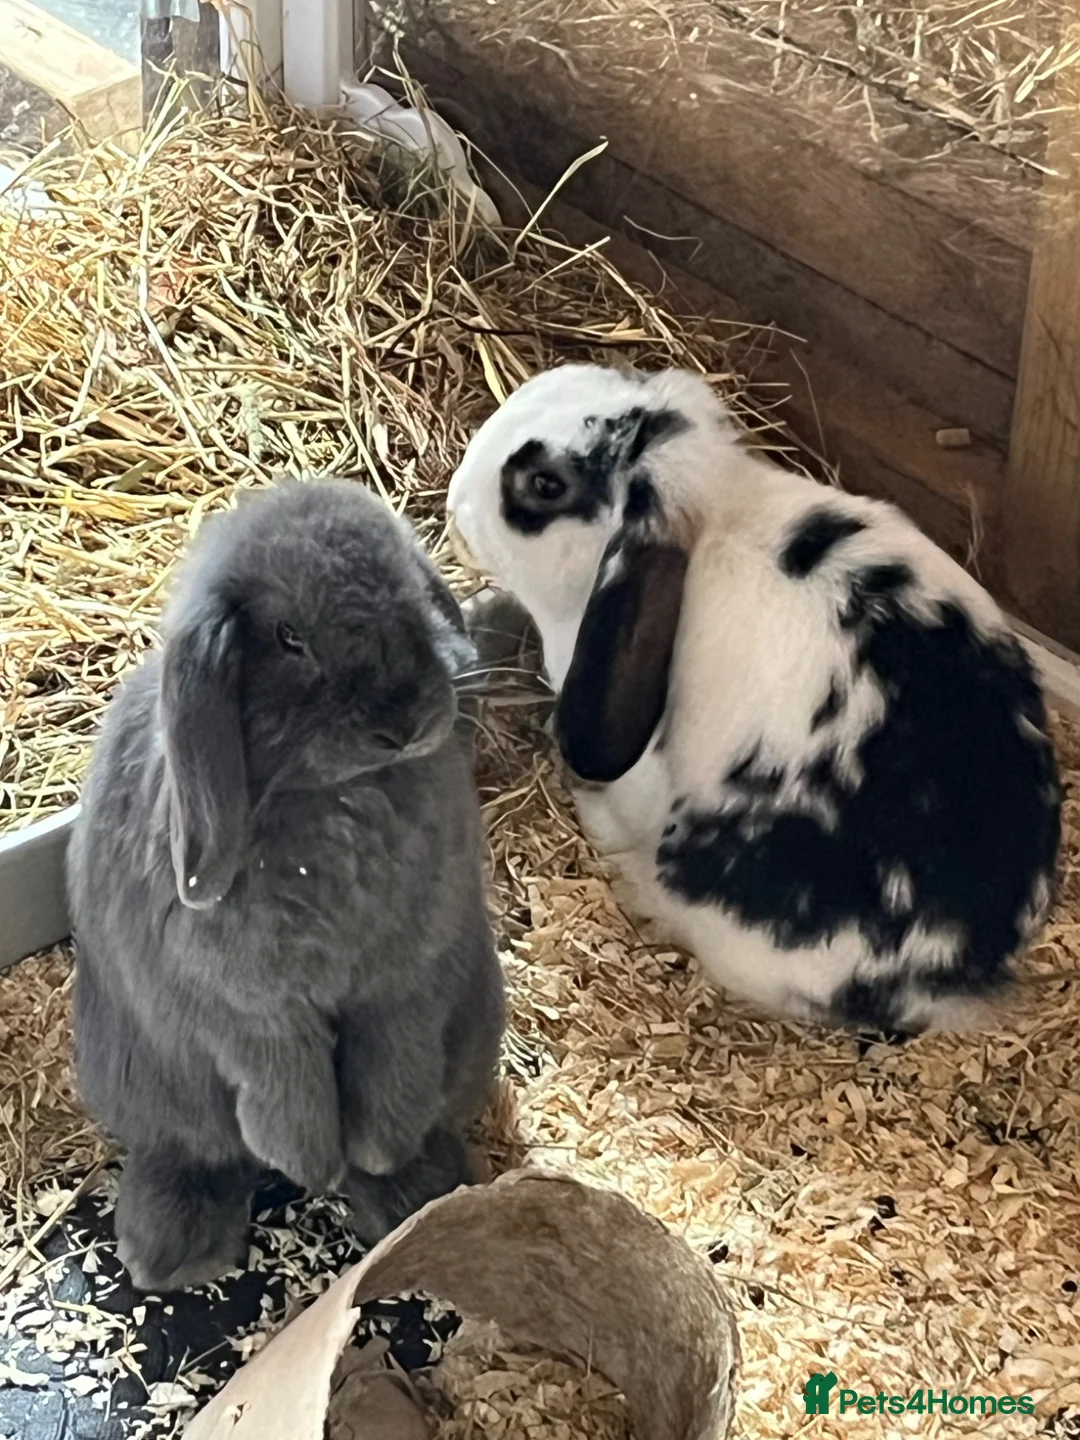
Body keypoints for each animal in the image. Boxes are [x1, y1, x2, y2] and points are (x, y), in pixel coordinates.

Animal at [68, 477, 506, 1292]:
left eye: (412, 596)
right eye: (289, 637)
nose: (402, 723)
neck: (335, 796)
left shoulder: (406, 986)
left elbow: (391, 1075)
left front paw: (372, 1154)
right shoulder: (250, 1015)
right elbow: (289, 1091)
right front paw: (313, 1164)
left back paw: (418, 1194)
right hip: (149, 1082)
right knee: (197, 1152)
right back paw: (171, 1252)